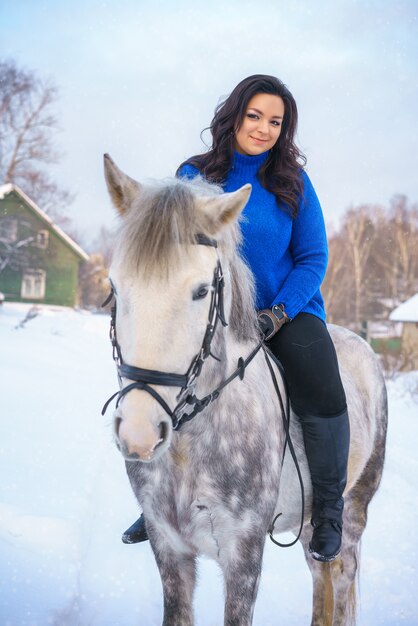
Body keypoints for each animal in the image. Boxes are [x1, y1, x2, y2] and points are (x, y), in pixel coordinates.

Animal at [102, 152, 388, 624]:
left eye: (202, 291)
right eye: (115, 286)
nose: (139, 434)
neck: (192, 445)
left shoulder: (244, 554)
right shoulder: (169, 549)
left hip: (353, 514)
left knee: (342, 584)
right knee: (321, 585)